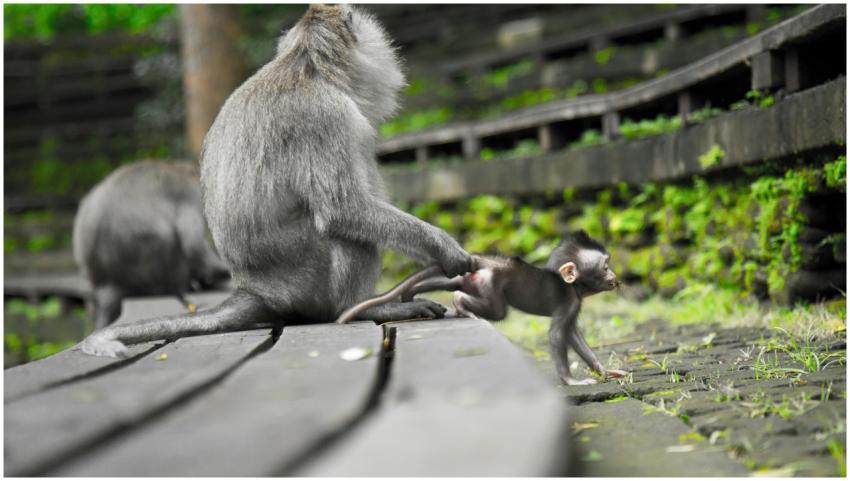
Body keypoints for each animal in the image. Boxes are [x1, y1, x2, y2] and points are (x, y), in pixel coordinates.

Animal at [336, 230, 629, 386]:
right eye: (605, 267)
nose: (615, 277)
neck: (572, 286)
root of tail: (491, 262)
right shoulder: (568, 301)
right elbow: (558, 335)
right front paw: (571, 380)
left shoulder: (574, 304)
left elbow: (573, 336)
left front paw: (604, 371)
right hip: (490, 284)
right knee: (494, 309)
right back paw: (460, 306)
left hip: (475, 278)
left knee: (454, 281)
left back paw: (412, 294)